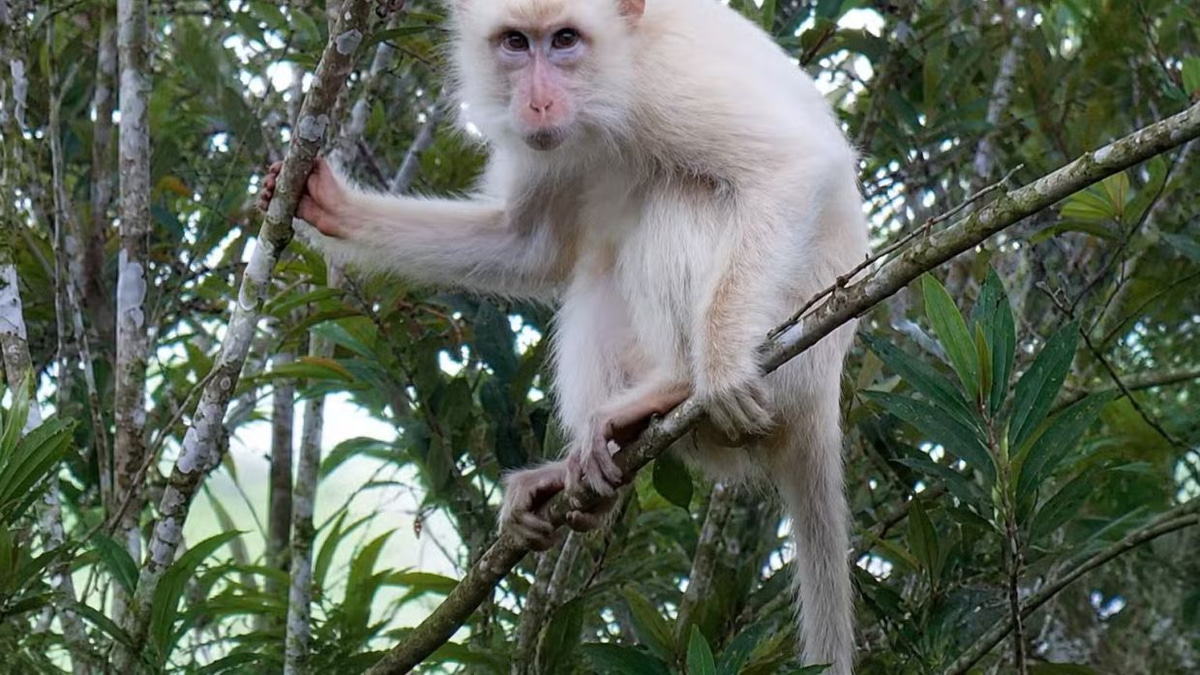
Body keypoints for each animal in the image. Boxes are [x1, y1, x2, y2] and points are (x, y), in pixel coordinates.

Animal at [258, 0, 869, 671]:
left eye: (566, 40)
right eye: (516, 43)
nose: (539, 101)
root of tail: (821, 398)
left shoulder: (666, 85)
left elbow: (793, 167)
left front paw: (722, 369)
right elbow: (527, 244)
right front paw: (330, 207)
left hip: (788, 350)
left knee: (681, 194)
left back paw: (679, 384)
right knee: (598, 268)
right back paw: (587, 468)